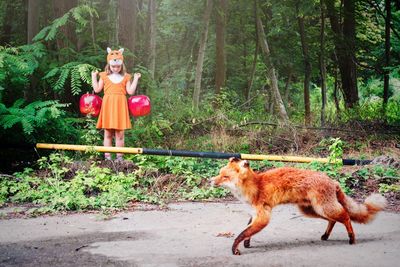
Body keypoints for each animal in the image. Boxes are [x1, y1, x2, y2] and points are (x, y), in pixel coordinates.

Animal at [211, 158, 386, 256]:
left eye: (225, 177)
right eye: (219, 173)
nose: (210, 181)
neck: (255, 186)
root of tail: (332, 180)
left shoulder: (263, 216)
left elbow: (241, 234)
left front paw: (235, 249)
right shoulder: (254, 214)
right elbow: (247, 231)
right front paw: (247, 244)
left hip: (322, 208)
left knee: (346, 216)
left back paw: (351, 238)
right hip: (311, 210)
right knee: (334, 220)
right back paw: (326, 235)